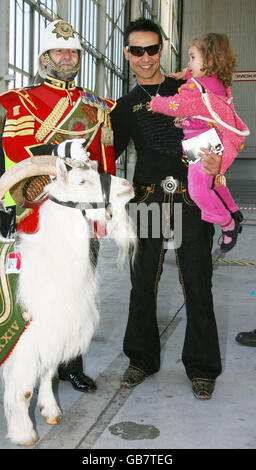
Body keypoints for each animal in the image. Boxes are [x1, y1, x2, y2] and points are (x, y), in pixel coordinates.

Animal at [1, 159, 136, 448]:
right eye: (82, 181)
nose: (127, 184)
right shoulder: (25, 340)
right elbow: (24, 390)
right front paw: (25, 434)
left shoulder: (54, 332)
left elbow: (48, 372)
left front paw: (51, 411)